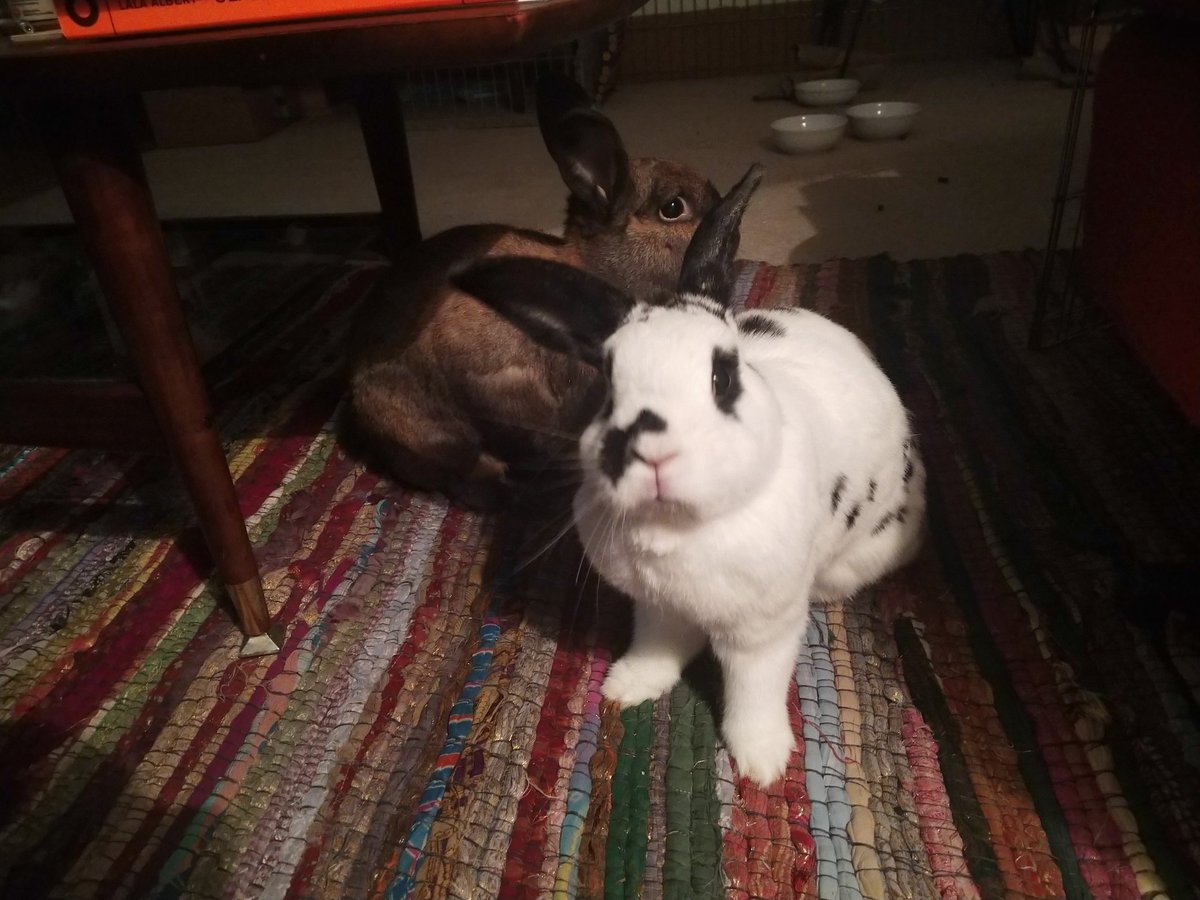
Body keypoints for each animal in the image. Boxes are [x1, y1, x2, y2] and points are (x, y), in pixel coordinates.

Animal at [450, 163, 927, 786]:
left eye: (723, 376)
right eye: (607, 381)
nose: (653, 453)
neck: (677, 528)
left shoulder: (763, 633)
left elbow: (755, 692)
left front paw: (763, 763)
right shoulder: (656, 608)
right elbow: (657, 648)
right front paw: (626, 687)